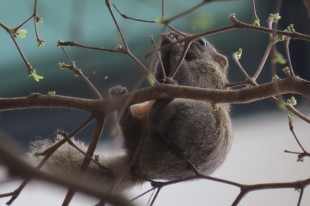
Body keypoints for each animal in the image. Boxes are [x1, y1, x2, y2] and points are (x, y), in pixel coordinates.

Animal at [30, 31, 231, 190]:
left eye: (202, 42)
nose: (175, 35)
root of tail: (140, 165)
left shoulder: (207, 76)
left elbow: (188, 78)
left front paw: (175, 48)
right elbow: (160, 78)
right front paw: (165, 46)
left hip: (191, 116)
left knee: (159, 118)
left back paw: (160, 106)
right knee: (131, 128)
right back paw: (125, 110)